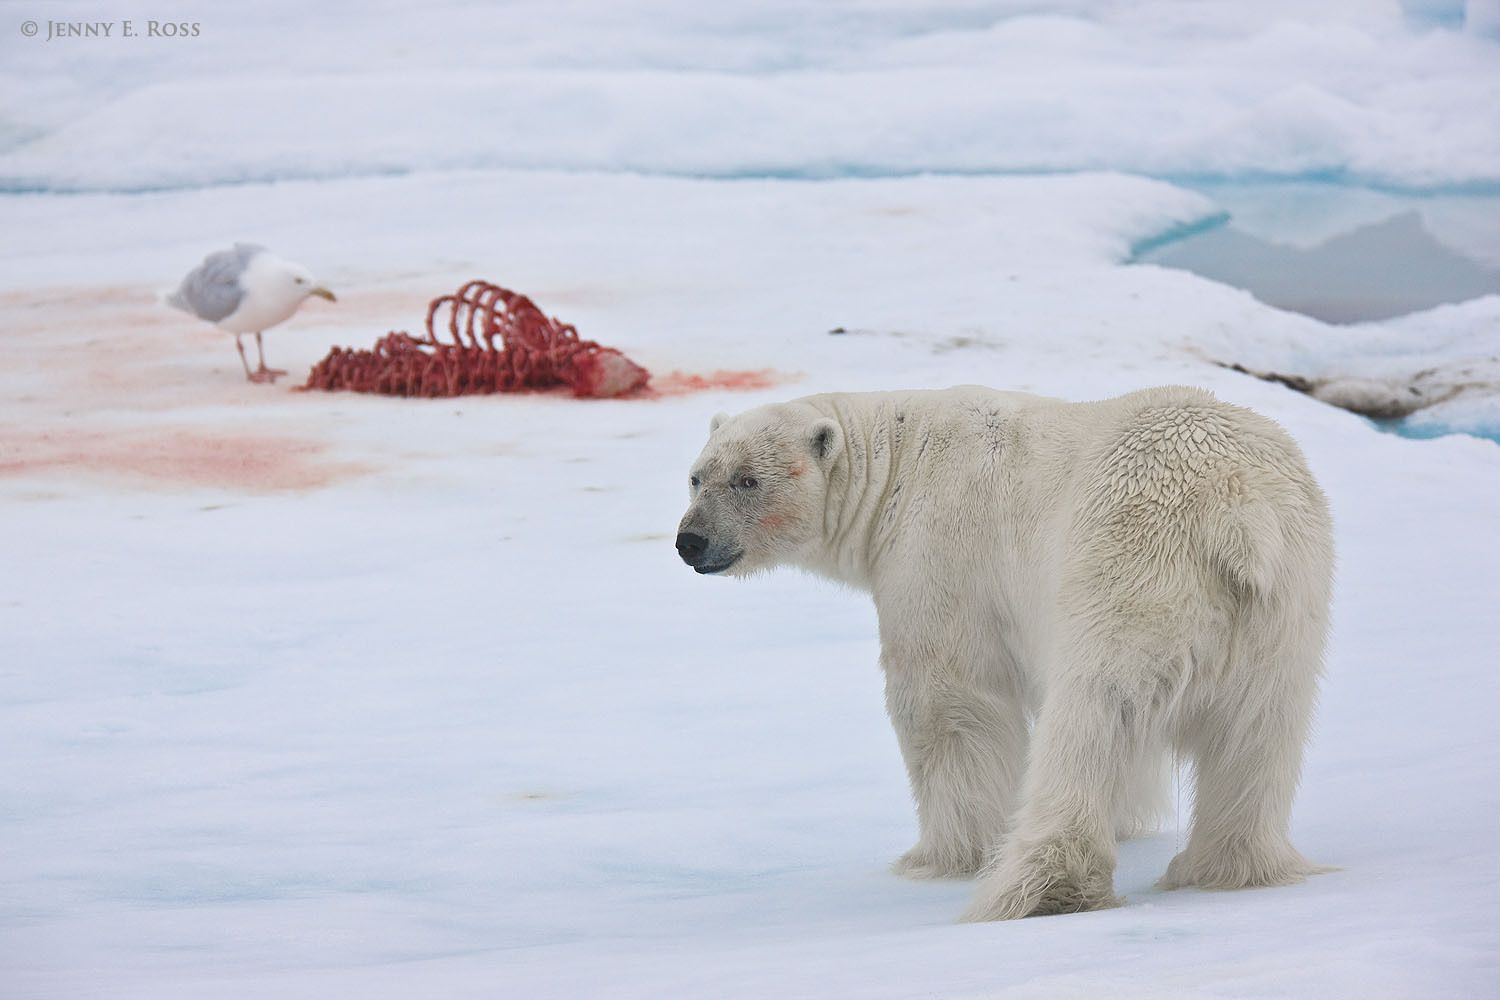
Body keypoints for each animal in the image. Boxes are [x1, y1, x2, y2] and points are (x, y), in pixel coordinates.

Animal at [675, 384, 1333, 921]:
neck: (894, 463)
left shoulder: (937, 551)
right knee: (1259, 731)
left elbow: (946, 702)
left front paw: (940, 857)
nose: (690, 541)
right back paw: (1223, 867)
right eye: (698, 476)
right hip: (1285, 605)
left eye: (748, 480)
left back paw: (1044, 888)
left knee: (1096, 712)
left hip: (1131, 565)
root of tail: (1239, 511)